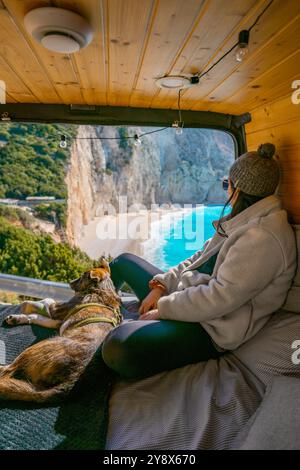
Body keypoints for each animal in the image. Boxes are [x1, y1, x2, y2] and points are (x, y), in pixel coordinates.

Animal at [0, 258, 123, 402]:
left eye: (82, 276)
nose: (70, 282)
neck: (101, 291)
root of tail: (71, 382)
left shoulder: (56, 311)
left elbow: (47, 301)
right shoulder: (57, 321)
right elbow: (36, 316)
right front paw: (17, 318)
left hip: (34, 349)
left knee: (7, 371)